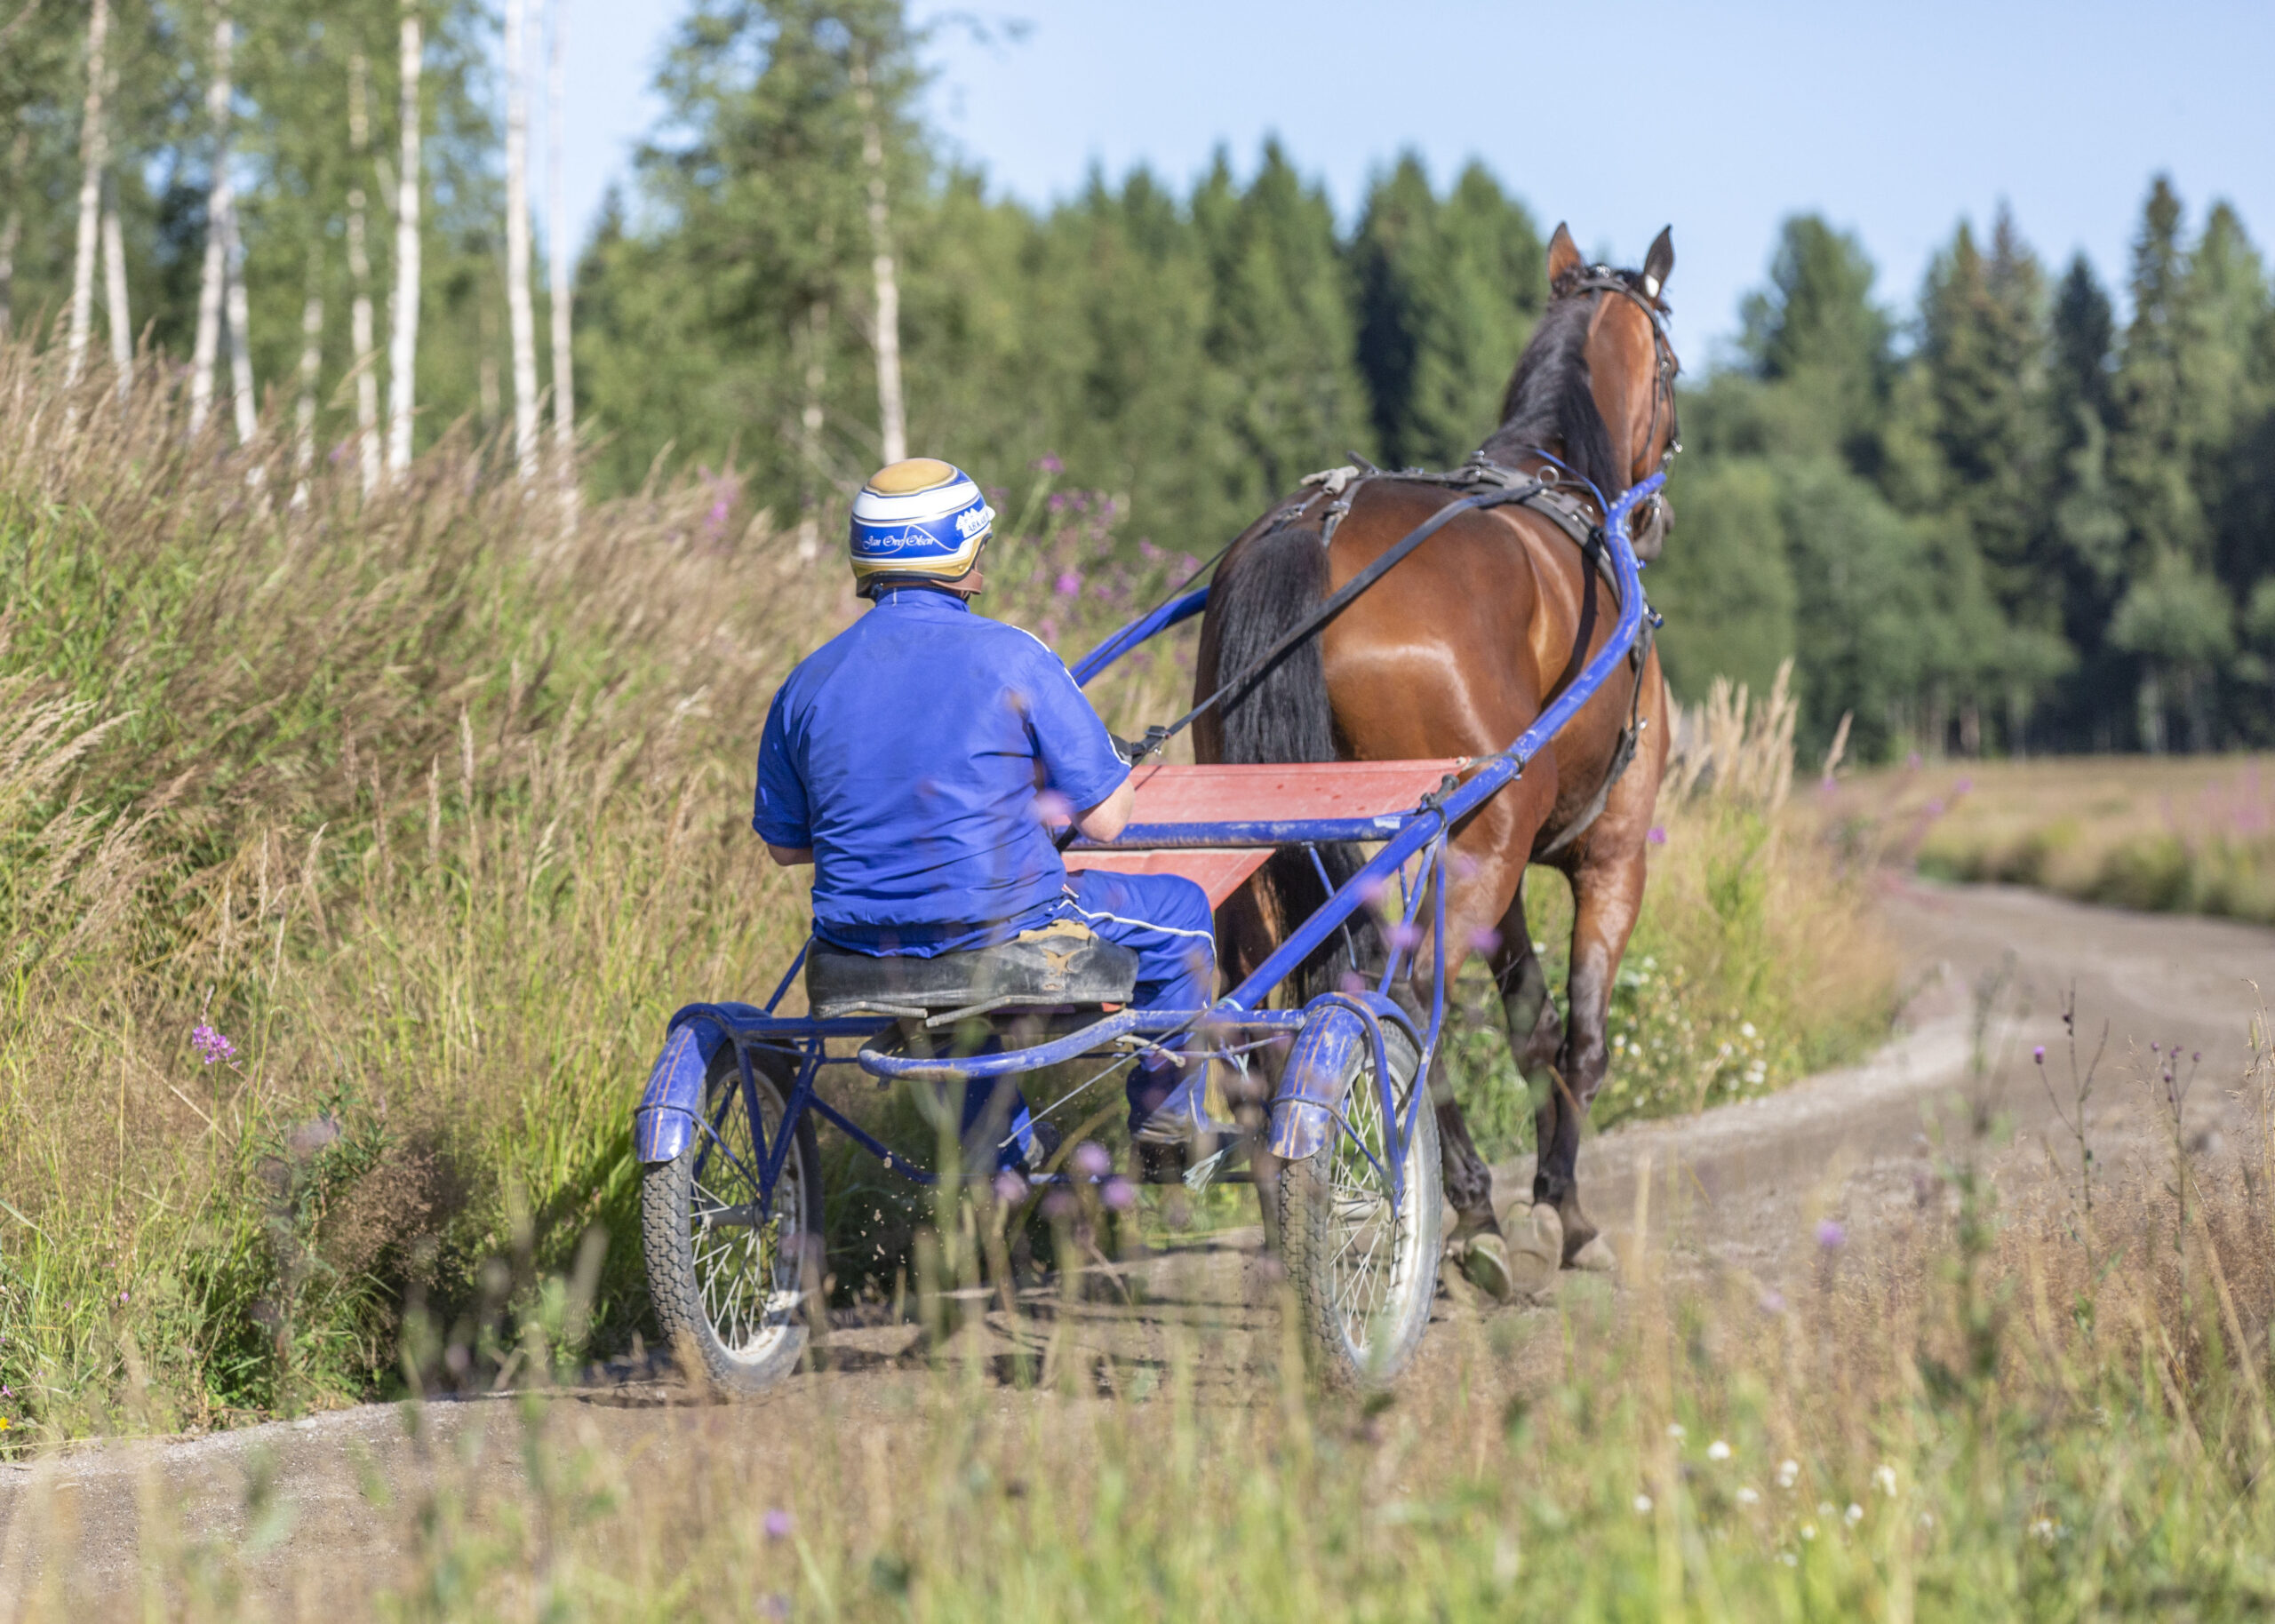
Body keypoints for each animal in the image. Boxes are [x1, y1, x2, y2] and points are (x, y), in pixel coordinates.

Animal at [1201, 227, 1683, 1292]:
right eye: (1673, 369)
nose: (1658, 516)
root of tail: (1315, 526)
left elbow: (1529, 1022)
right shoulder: (1609, 851)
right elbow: (1579, 1038)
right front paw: (1561, 1211)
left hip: (1263, 856)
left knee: (1268, 1032)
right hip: (1472, 851)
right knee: (1403, 1006)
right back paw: (1458, 1208)